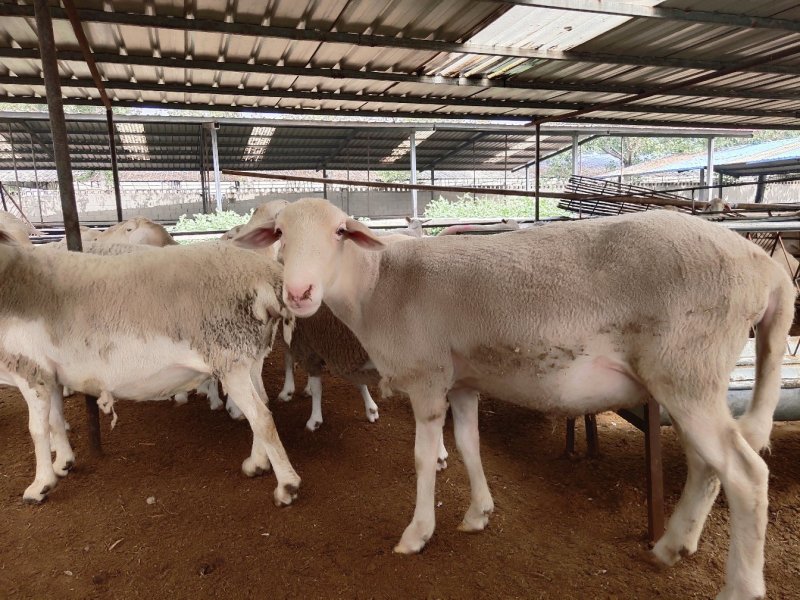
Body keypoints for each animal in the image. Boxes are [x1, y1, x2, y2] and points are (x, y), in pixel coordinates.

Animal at [0, 237, 300, 508]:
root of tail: (269, 275)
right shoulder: (47, 373)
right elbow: (54, 421)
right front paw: (63, 463)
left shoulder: (28, 367)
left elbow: (37, 429)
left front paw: (40, 486)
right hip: (249, 355)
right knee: (263, 405)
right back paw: (257, 464)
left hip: (228, 356)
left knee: (261, 417)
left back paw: (287, 487)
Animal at [234, 198, 796, 600]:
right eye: (280, 234)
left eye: (339, 233)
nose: (299, 293)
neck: (376, 285)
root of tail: (764, 267)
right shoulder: (462, 381)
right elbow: (468, 445)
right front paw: (478, 512)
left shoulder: (428, 377)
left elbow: (422, 458)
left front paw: (418, 533)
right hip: (691, 378)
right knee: (708, 466)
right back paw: (673, 544)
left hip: (687, 368)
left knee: (746, 474)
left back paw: (739, 588)